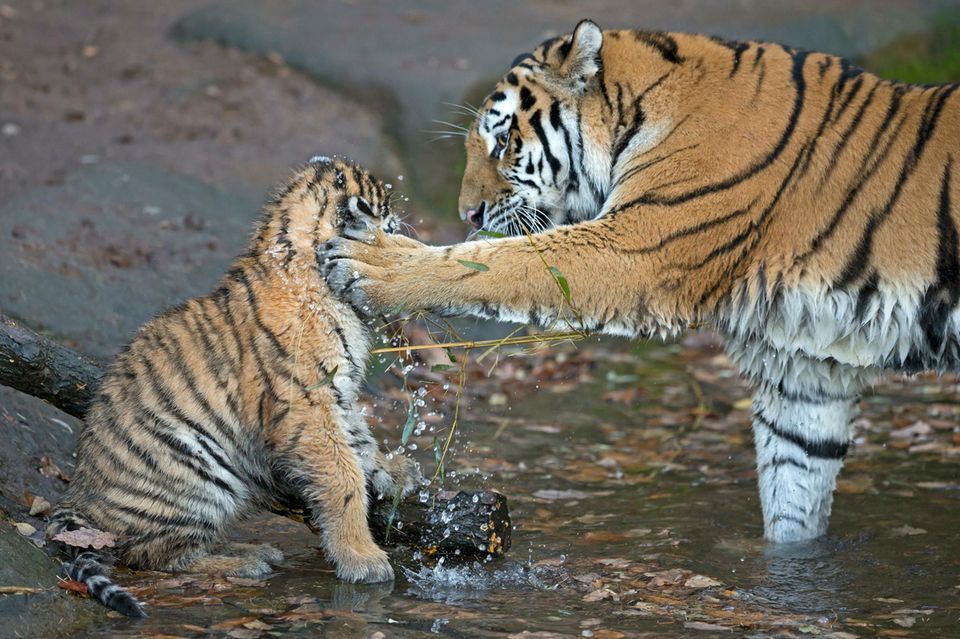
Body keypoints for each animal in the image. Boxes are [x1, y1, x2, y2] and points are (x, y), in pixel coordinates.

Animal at [324, 20, 960, 544]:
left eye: (502, 143)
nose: (468, 213)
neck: (647, 104)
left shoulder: (636, 248)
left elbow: (503, 262)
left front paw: (373, 263)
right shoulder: (805, 370)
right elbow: (794, 499)